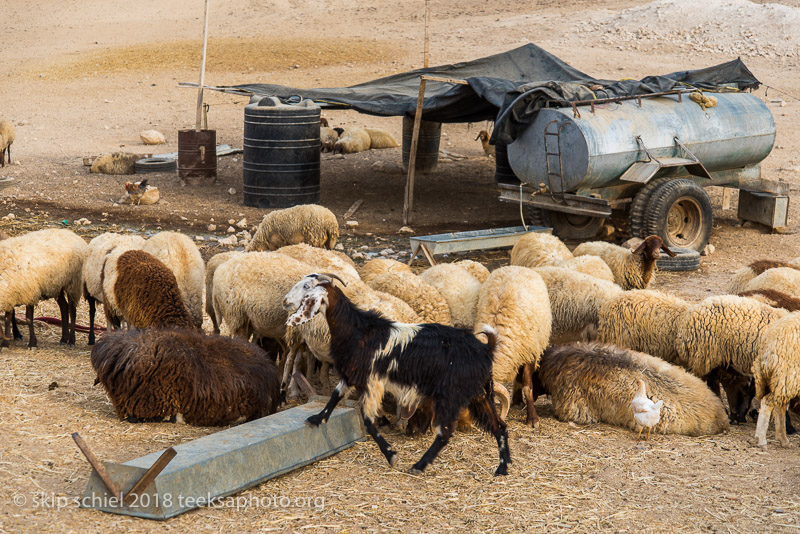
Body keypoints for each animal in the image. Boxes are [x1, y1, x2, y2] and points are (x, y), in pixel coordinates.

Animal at [282, 274, 512, 480]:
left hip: (450, 394)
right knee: (499, 426)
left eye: (307, 291)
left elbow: (368, 419)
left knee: (445, 432)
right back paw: (502, 467)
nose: (288, 310)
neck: (357, 330)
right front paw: (316, 418)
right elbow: (334, 397)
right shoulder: (352, 375)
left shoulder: (372, 381)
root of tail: (485, 349)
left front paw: (390, 454)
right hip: (480, 393)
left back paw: (419, 465)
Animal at [752, 312, 800, 450]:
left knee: (780, 406)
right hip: (788, 376)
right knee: (768, 403)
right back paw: (762, 440)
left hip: (783, 379)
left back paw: (783, 439)